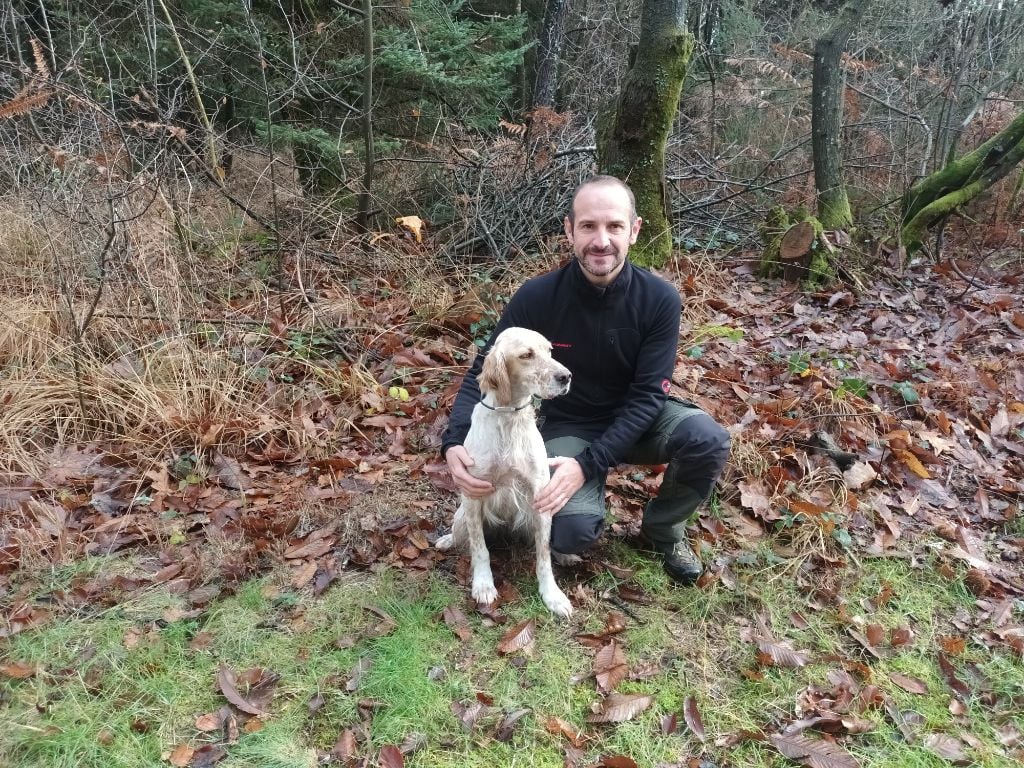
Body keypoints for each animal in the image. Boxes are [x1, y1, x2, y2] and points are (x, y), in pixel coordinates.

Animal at [434, 325, 573, 618]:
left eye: (549, 351)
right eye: (526, 355)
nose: (566, 376)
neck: (508, 416)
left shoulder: (540, 496)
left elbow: (543, 556)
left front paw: (552, 595)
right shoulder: (473, 495)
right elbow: (479, 549)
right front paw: (484, 586)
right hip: (462, 516)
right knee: (461, 535)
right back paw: (447, 540)